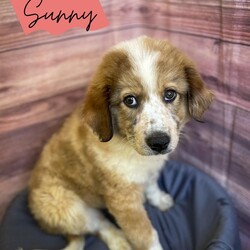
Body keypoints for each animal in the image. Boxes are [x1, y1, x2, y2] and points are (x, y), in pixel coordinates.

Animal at [28, 35, 213, 250]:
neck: (129, 146)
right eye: (130, 100)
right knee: (100, 225)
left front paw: (159, 199)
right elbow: (146, 235)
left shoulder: (150, 171)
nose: (159, 142)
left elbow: (151, 184)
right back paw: (120, 241)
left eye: (170, 94)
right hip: (68, 208)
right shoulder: (124, 201)